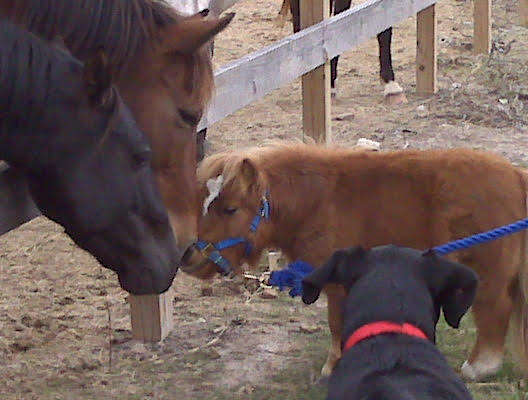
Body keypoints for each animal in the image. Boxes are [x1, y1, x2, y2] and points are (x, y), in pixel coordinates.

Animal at [182, 143, 528, 382]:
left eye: (229, 209)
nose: (189, 258)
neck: (317, 201)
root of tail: (515, 176)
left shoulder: (337, 284)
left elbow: (337, 323)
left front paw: (332, 367)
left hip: (486, 276)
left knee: (496, 311)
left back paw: (478, 368)